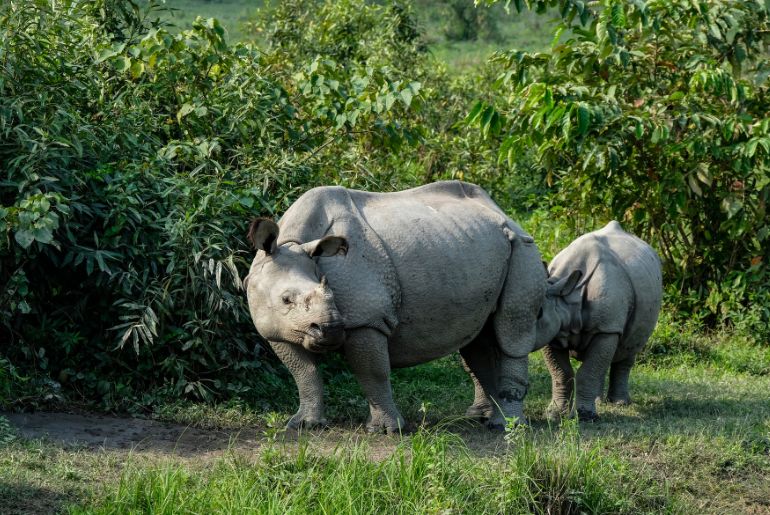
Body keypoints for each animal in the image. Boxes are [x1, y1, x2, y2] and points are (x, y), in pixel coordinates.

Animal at [243, 181, 544, 432]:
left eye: (330, 290)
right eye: (286, 300)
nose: (331, 329)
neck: (293, 242)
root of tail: (504, 213)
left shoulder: (367, 318)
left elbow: (373, 372)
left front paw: (387, 430)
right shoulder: (278, 329)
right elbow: (304, 374)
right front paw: (304, 425)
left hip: (524, 248)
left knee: (512, 333)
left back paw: (507, 427)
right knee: (478, 339)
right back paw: (482, 417)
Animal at [536, 220, 660, 422]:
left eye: (538, 313)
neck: (568, 297)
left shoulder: (607, 327)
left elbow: (587, 371)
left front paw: (586, 417)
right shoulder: (553, 332)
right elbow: (561, 373)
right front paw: (554, 415)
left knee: (629, 346)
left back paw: (619, 403)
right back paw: (598, 401)